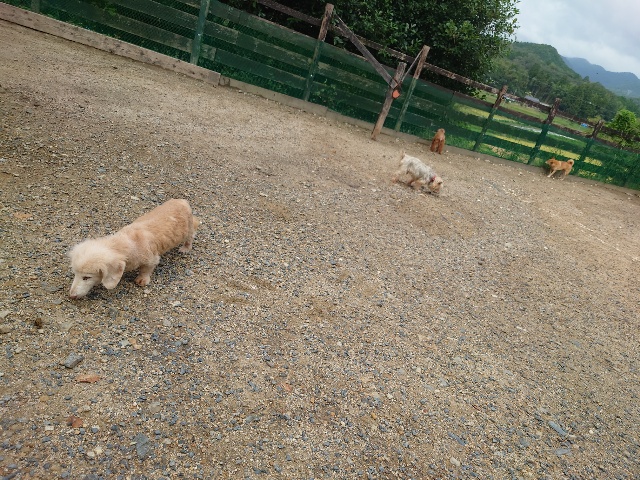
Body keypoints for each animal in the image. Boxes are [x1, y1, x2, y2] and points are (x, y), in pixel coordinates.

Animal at [68, 199, 199, 299]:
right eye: (75, 274)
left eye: (87, 277)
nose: (72, 296)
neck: (127, 242)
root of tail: (182, 201)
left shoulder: (151, 259)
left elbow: (146, 270)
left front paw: (142, 280)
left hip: (188, 228)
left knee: (191, 237)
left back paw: (185, 248)